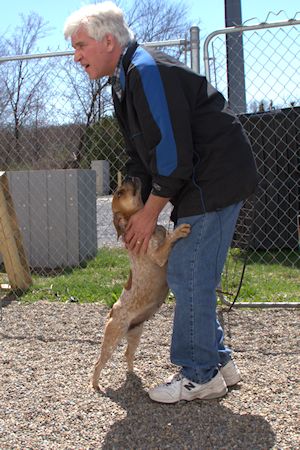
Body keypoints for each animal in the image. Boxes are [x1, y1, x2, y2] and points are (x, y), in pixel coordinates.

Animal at [91, 178, 190, 388]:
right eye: (119, 193)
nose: (129, 176)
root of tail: (112, 311)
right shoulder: (159, 256)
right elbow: (169, 240)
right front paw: (179, 231)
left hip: (136, 334)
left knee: (127, 354)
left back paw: (133, 375)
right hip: (112, 340)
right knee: (98, 363)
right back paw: (96, 385)